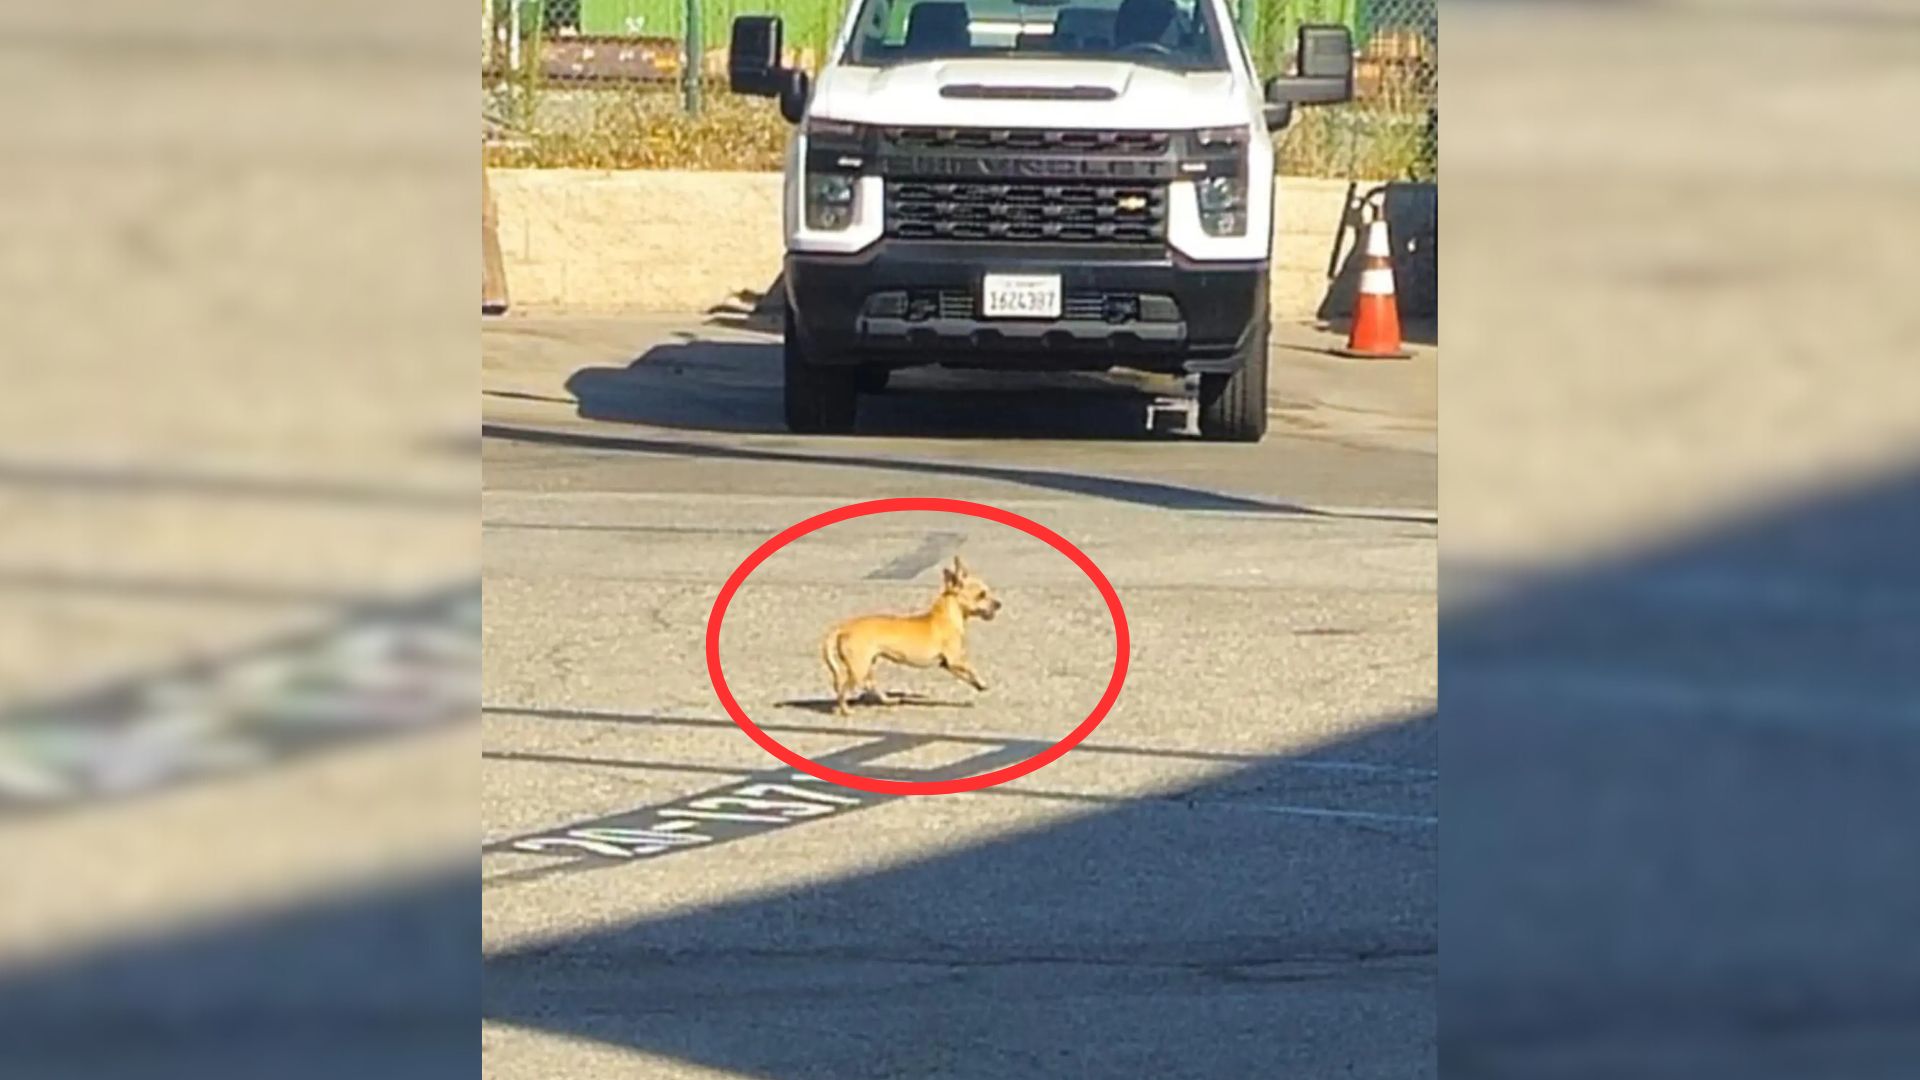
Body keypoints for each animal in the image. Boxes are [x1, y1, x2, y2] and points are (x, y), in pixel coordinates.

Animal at [817, 553, 1006, 714]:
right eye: (982, 595)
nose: (999, 604)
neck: (947, 615)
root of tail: (844, 627)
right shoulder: (955, 660)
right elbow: (972, 668)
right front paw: (982, 682)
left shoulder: (948, 664)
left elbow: (967, 675)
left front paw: (979, 685)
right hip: (859, 668)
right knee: (843, 688)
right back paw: (845, 710)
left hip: (867, 664)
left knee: (868, 684)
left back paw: (887, 700)